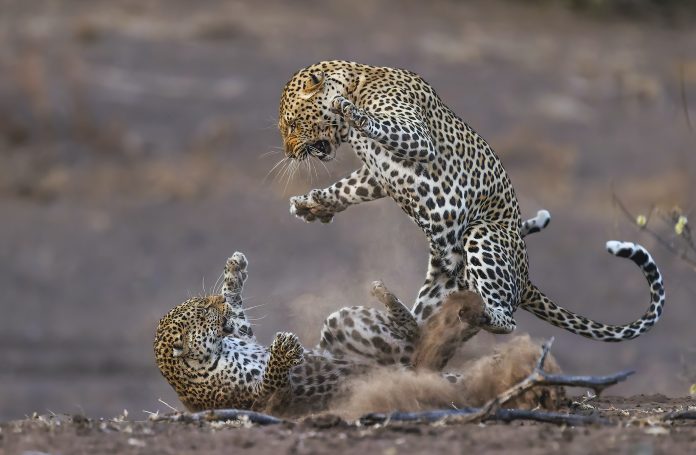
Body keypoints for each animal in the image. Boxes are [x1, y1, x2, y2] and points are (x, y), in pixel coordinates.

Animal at [278, 61, 664, 346]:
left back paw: (480, 314)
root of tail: (525, 280)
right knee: (422, 331)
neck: (359, 79)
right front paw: (312, 205)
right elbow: (348, 188)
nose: (290, 153)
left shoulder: (415, 138)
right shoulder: (376, 174)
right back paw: (397, 311)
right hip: (441, 284)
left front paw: (347, 108)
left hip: (482, 233)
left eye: (293, 124)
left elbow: (372, 122)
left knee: (507, 321)